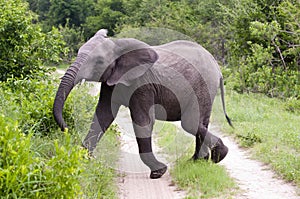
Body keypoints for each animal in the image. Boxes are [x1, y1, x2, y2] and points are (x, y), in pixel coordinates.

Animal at [53, 29, 232, 179]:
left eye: (99, 61)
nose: (67, 128)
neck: (118, 45)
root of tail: (217, 66)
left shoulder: (142, 84)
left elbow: (143, 121)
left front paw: (158, 172)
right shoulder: (111, 82)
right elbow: (102, 116)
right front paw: (82, 160)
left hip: (203, 85)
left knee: (190, 122)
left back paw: (218, 155)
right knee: (198, 122)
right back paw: (198, 161)